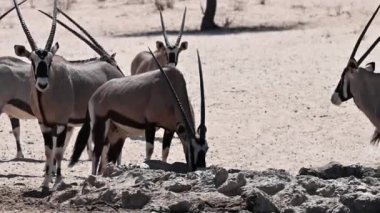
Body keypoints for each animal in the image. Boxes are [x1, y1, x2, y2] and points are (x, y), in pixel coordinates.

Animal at [11, 0, 123, 191]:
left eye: (50, 61)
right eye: (32, 60)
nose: (42, 84)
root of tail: (115, 72)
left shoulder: (62, 123)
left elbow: (58, 152)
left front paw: (57, 182)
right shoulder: (44, 124)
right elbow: (49, 152)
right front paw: (45, 182)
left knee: (102, 146)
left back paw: (98, 175)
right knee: (102, 146)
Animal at [71, 50, 208, 175]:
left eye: (206, 148)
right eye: (192, 148)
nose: (201, 168)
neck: (169, 93)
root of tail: (95, 95)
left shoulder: (170, 129)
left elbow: (165, 152)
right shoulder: (150, 125)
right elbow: (149, 151)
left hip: (117, 134)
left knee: (109, 156)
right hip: (100, 125)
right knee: (96, 153)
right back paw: (94, 176)